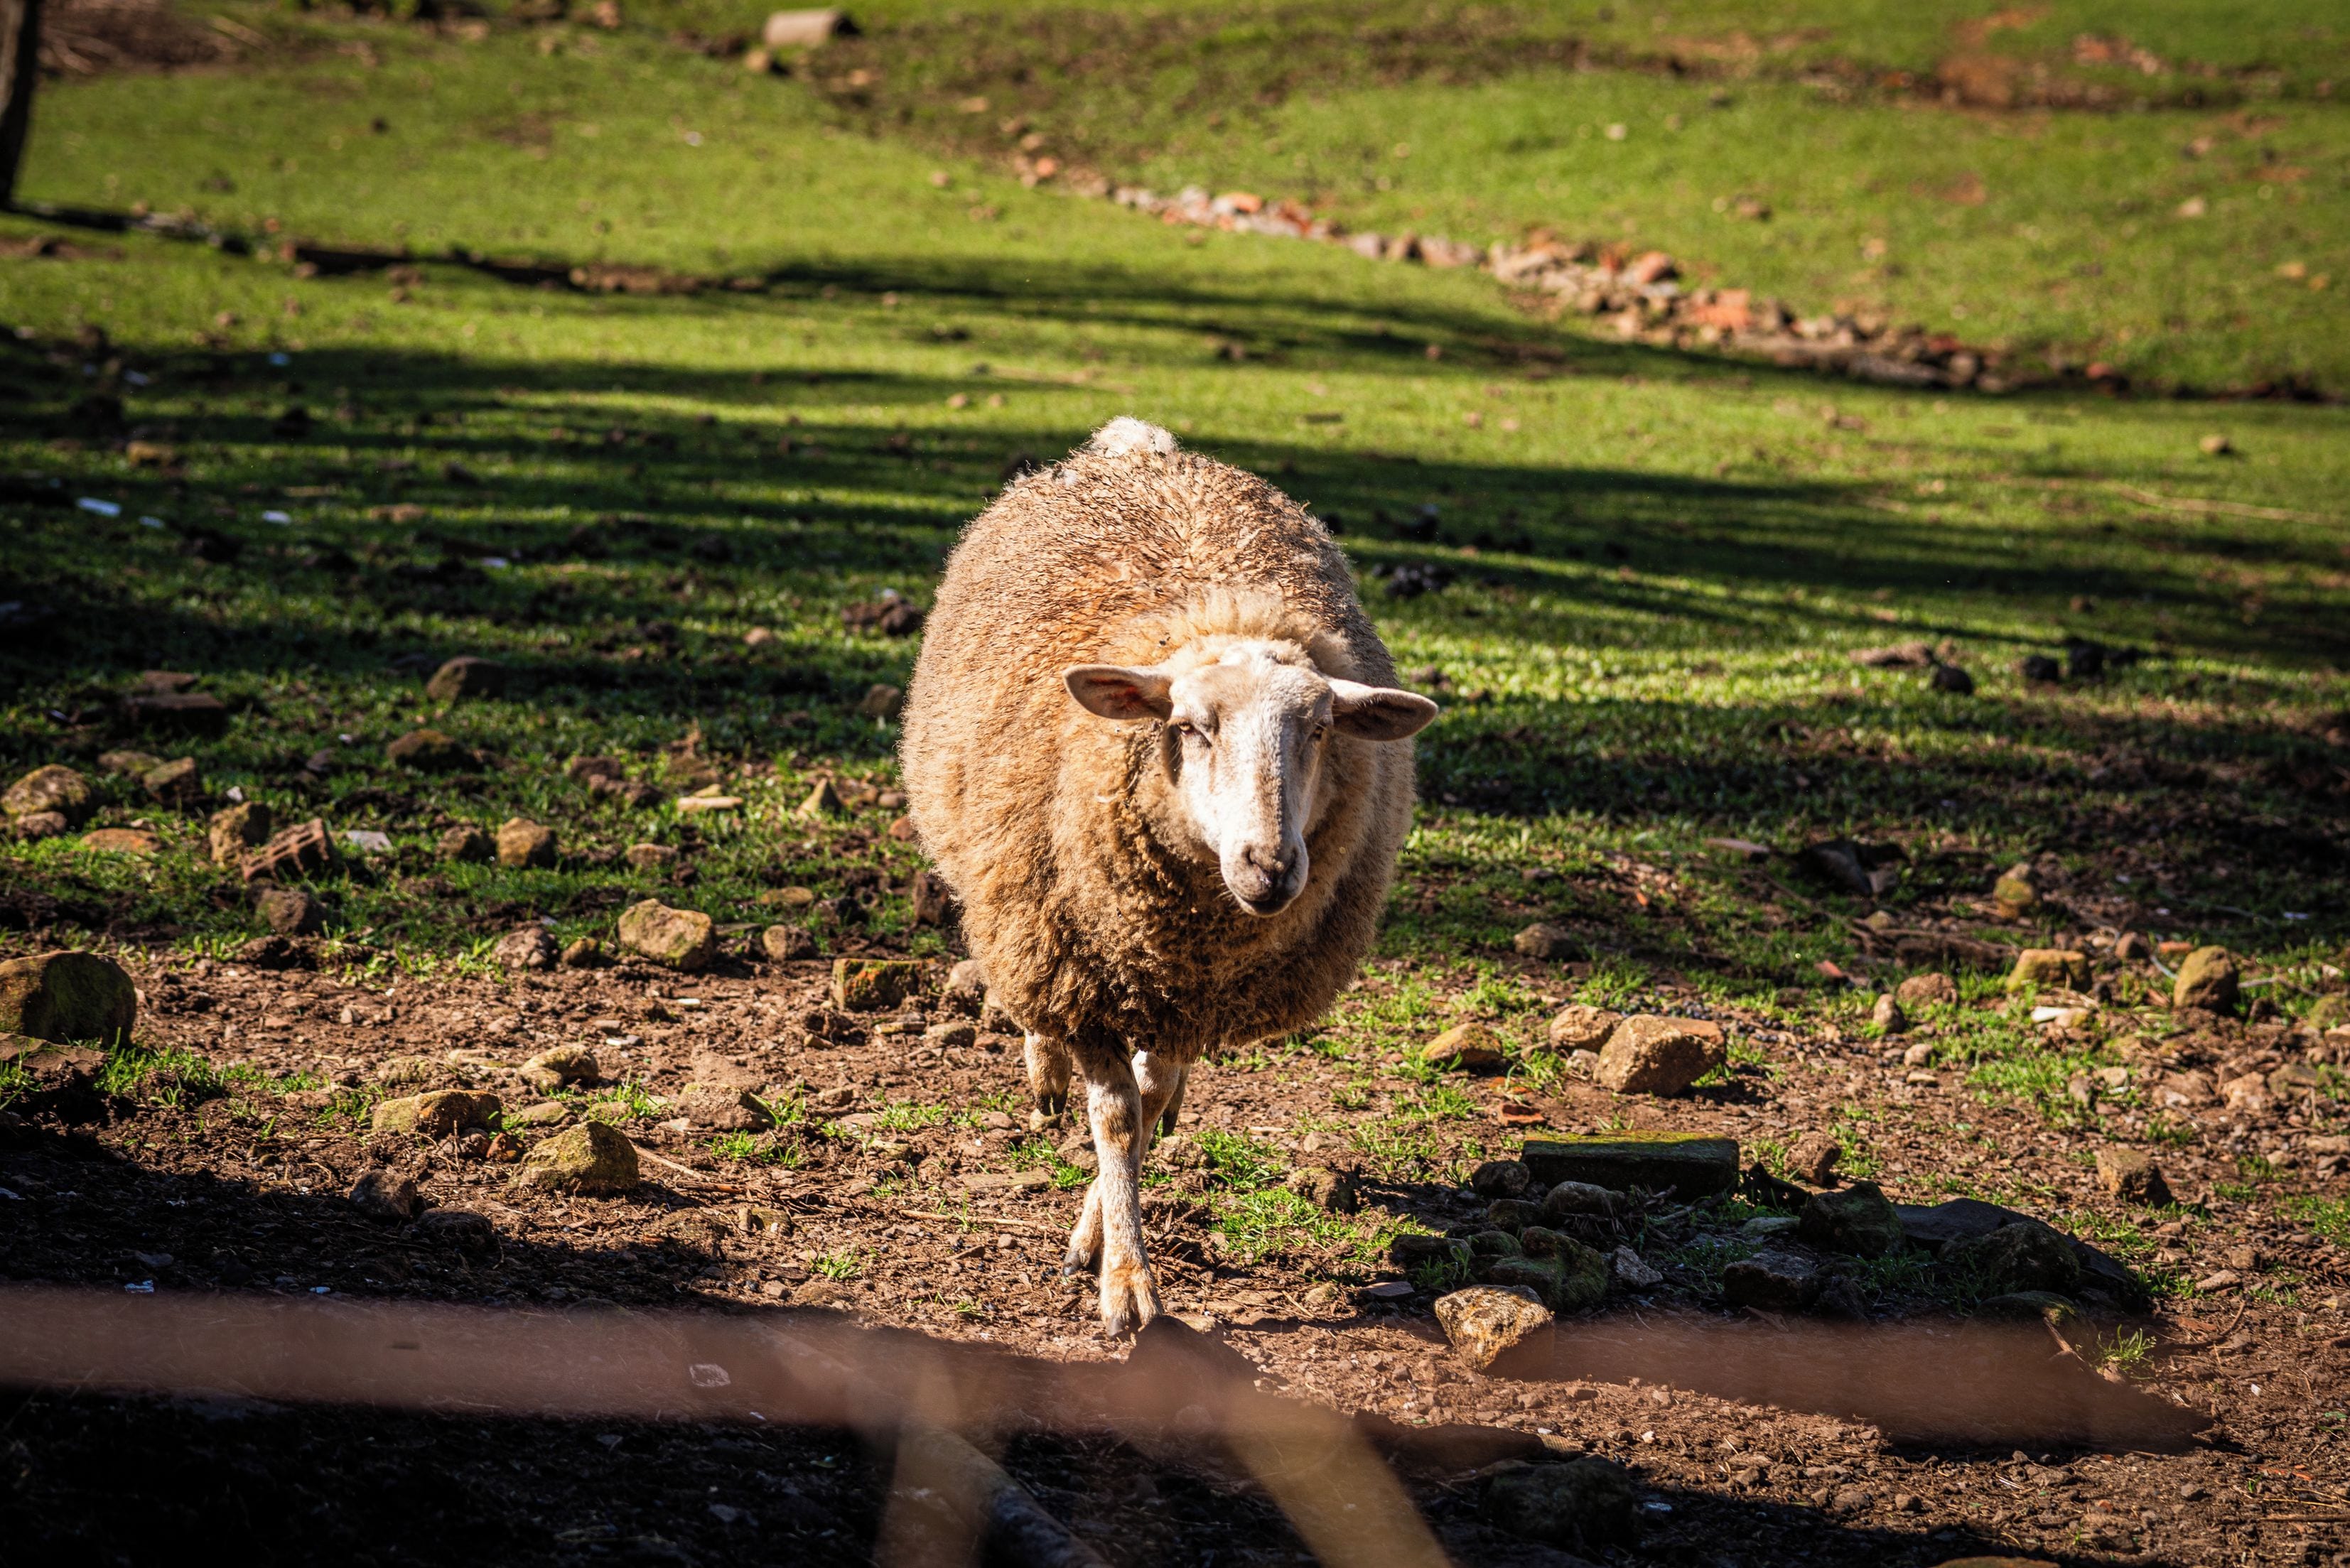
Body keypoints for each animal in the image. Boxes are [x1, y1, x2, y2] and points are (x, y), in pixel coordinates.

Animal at [900, 417, 1437, 1333]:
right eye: (1189, 726)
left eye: (1322, 729)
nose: (1270, 866)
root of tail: (1140, 446)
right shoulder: (1074, 968)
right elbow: (1115, 1118)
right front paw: (1125, 1279)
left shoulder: (1195, 997)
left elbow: (1146, 1105)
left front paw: (1098, 1234)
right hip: (1013, 905)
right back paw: (1044, 1073)